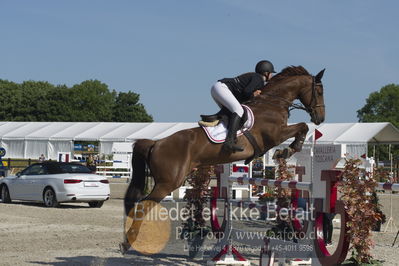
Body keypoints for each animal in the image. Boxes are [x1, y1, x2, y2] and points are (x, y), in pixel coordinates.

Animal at [124, 65, 324, 215]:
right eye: (320, 91)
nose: (321, 118)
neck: (272, 103)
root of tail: (156, 143)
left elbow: (302, 127)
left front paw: (286, 150)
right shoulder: (275, 135)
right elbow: (302, 127)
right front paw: (288, 149)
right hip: (169, 182)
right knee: (143, 206)